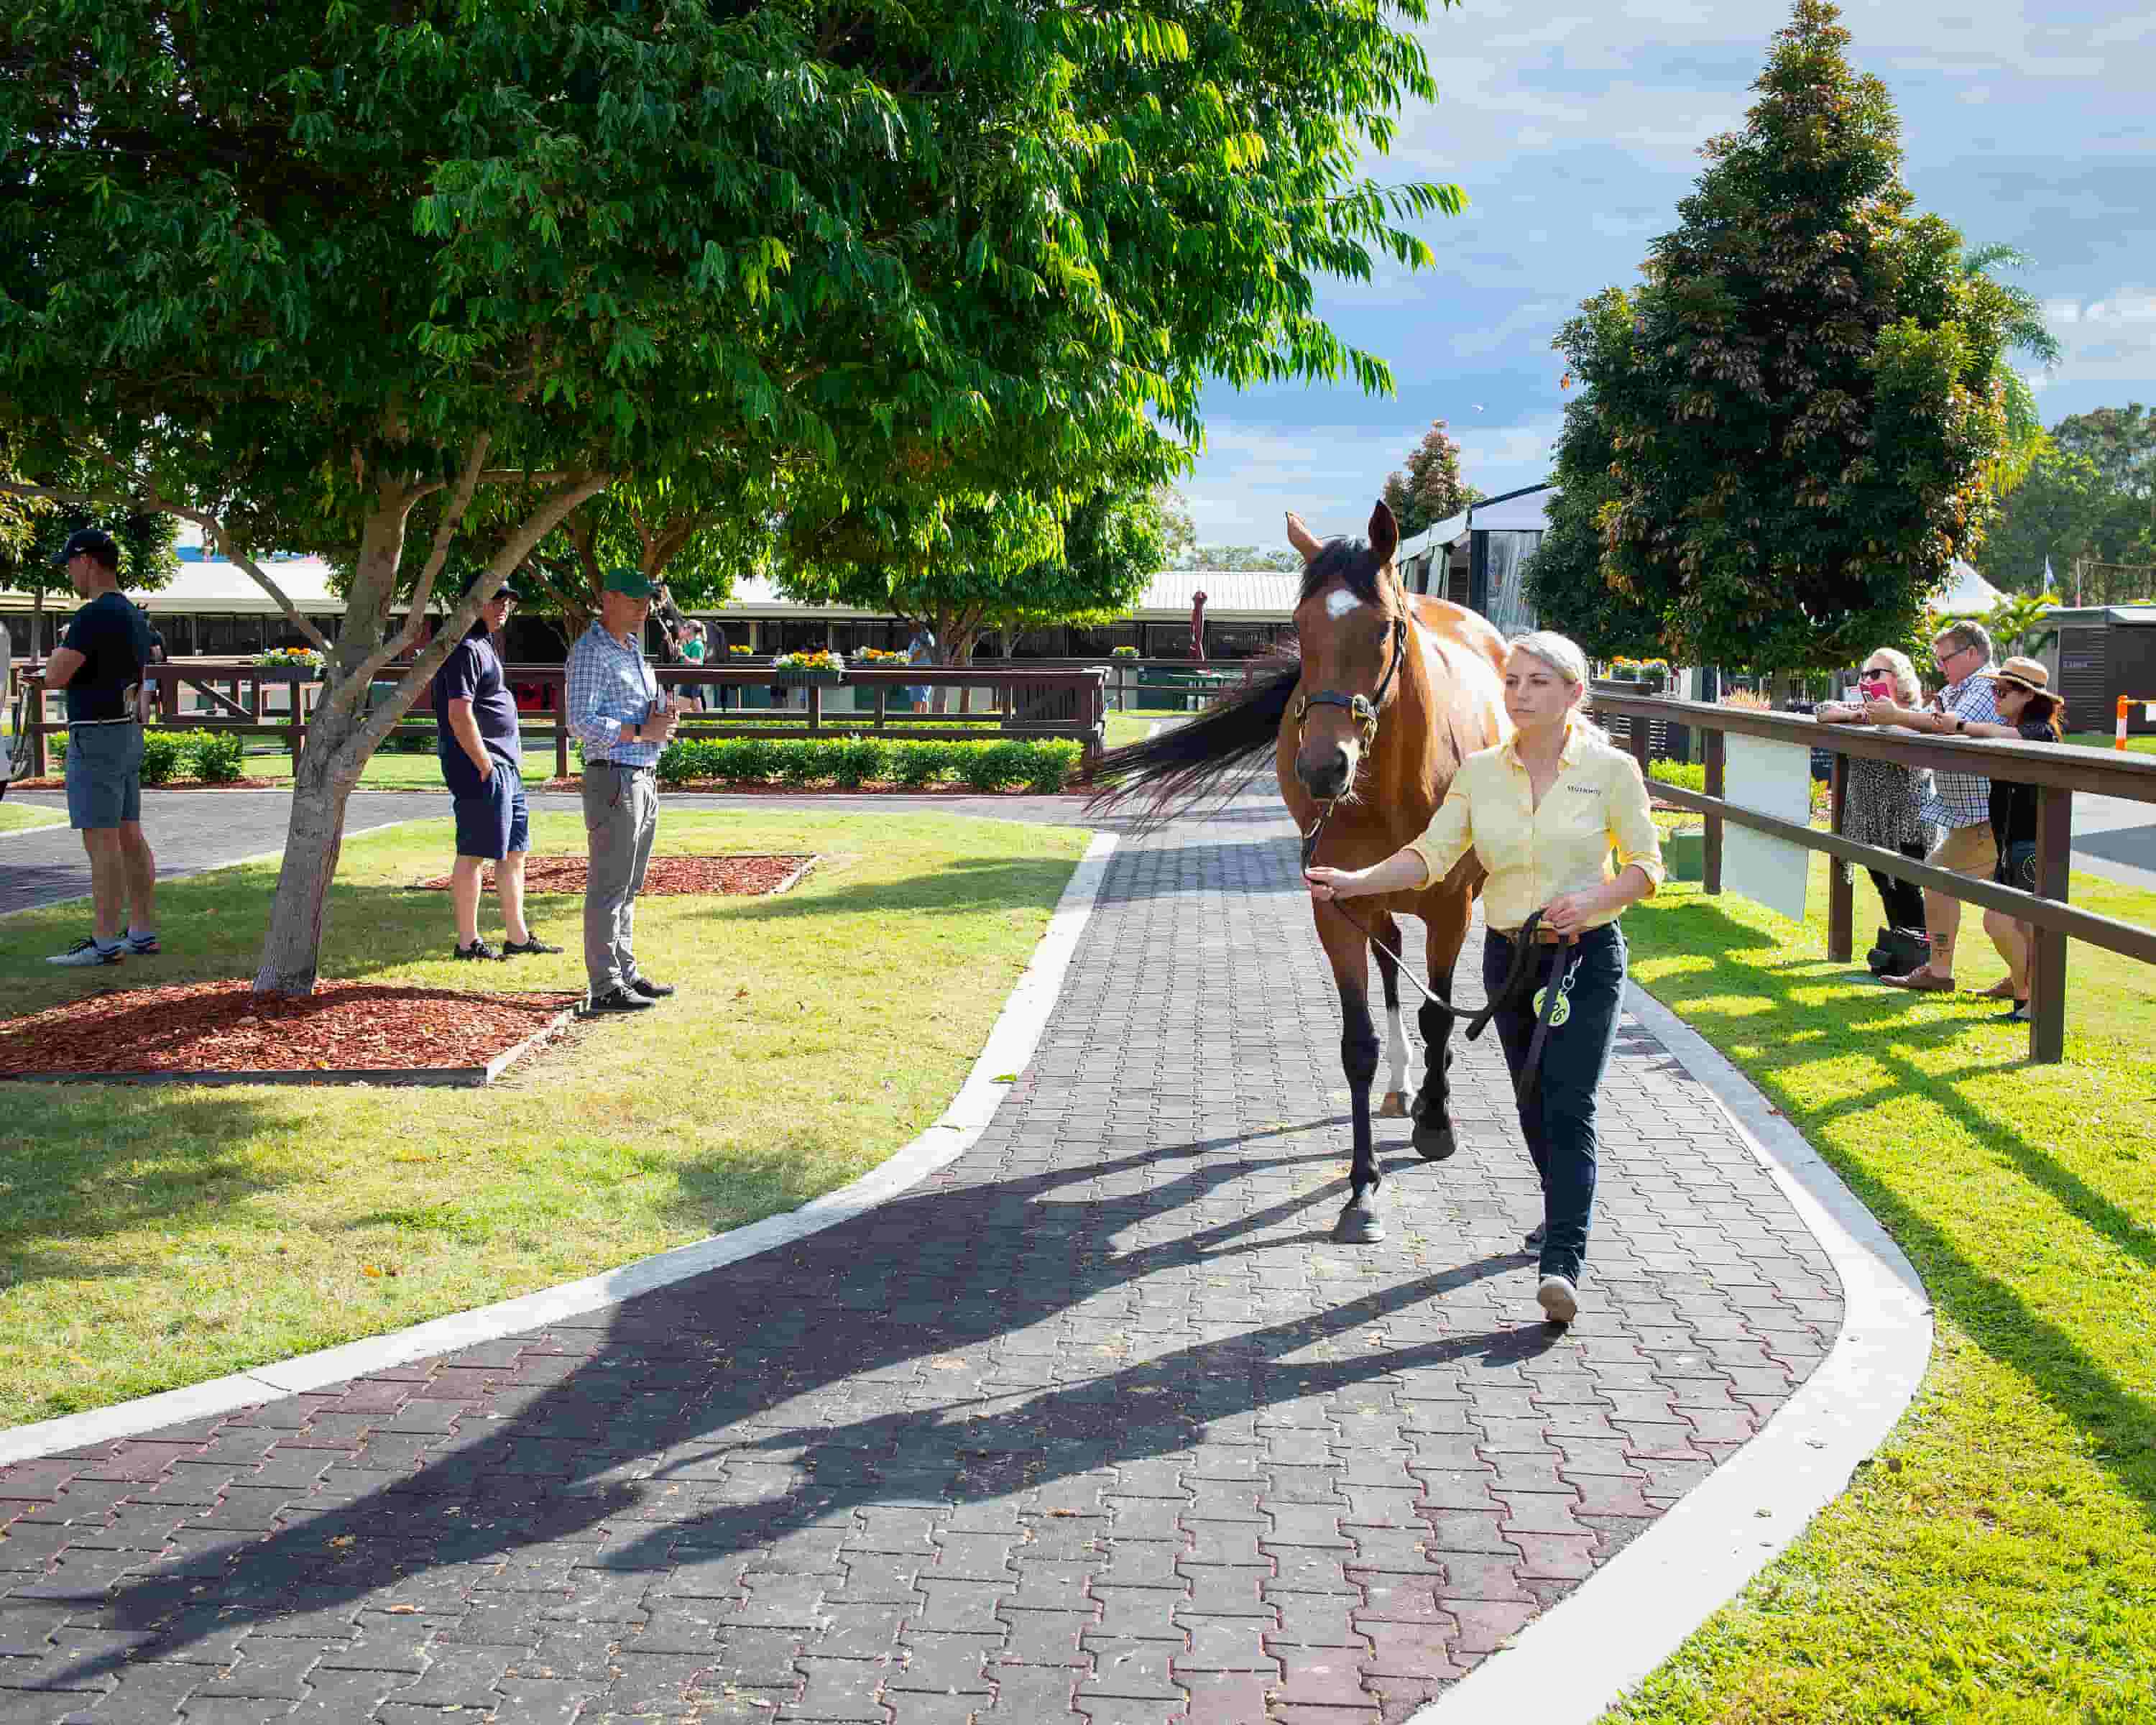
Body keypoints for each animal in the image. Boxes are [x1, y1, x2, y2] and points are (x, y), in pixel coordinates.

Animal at [1090, 500, 1509, 1244]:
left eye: (1384, 627)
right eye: (1301, 629)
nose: (1322, 768)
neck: (1394, 782)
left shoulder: (1452, 909)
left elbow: (1438, 1016)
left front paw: (1437, 1122)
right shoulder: (1333, 907)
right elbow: (1357, 1045)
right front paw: (1362, 1188)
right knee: (1388, 963)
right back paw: (1401, 1086)